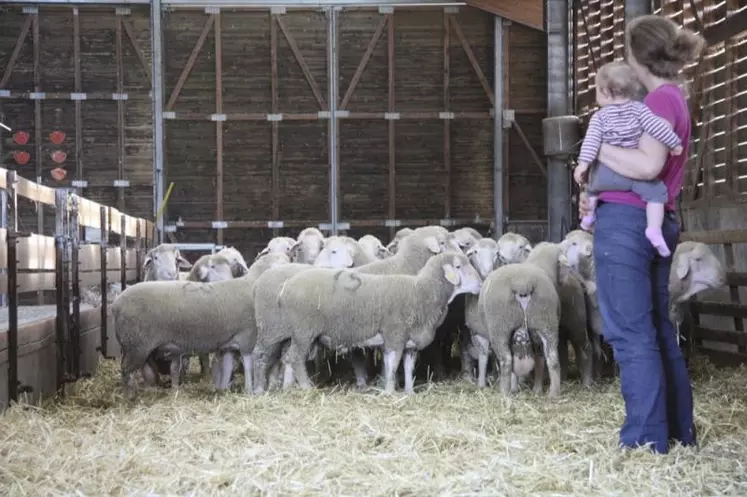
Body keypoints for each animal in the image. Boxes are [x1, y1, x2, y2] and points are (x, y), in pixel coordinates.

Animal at [112, 250, 290, 398]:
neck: (253, 284)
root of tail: (116, 304)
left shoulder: (230, 342)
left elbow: (228, 366)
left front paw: (224, 389)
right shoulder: (248, 335)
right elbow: (248, 364)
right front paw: (249, 390)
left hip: (139, 347)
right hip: (136, 345)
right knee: (126, 371)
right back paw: (129, 398)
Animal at [276, 250, 486, 394]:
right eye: (458, 267)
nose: (481, 285)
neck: (421, 291)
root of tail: (285, 288)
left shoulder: (409, 343)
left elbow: (407, 367)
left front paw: (409, 392)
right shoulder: (395, 335)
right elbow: (392, 365)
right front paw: (390, 392)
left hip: (299, 334)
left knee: (288, 357)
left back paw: (287, 388)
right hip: (304, 332)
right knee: (296, 358)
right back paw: (306, 388)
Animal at [476, 242, 568, 398]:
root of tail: (522, 283)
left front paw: (515, 387)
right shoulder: (535, 335)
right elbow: (539, 360)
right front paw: (536, 389)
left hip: (500, 326)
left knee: (506, 360)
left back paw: (505, 393)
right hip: (546, 322)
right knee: (552, 358)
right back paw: (553, 394)